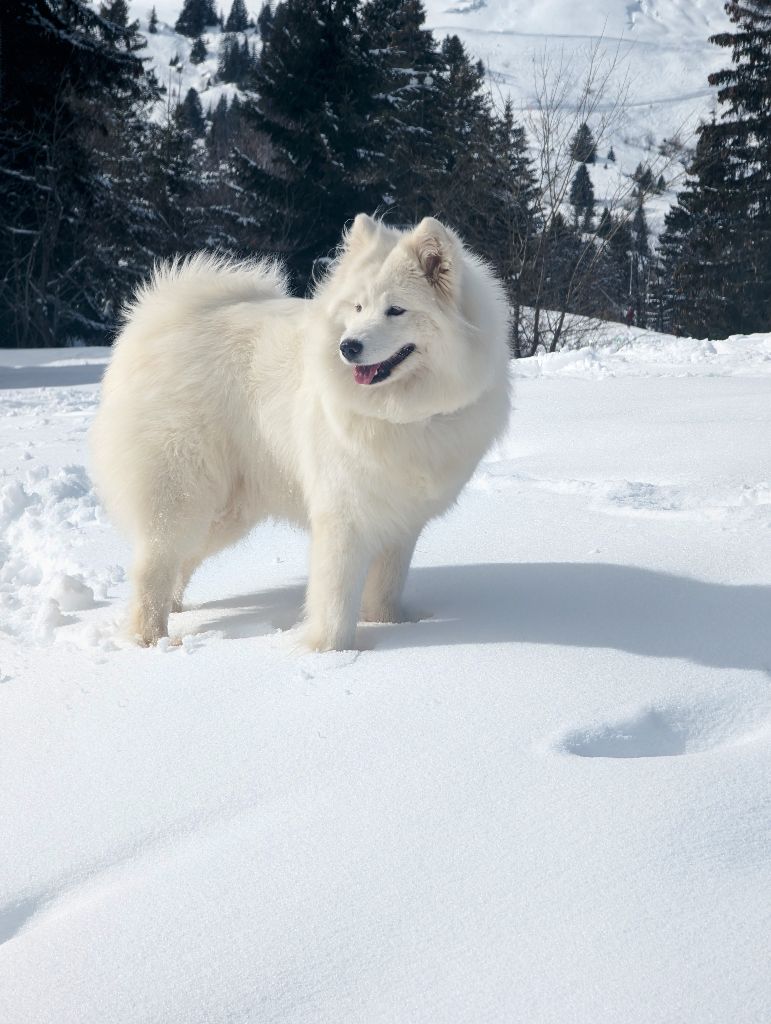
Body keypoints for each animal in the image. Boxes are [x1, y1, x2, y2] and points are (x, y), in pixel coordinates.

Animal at [90, 215, 511, 647]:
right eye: (358, 307)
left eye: (396, 310)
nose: (348, 346)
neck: (405, 415)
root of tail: (154, 323)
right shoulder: (344, 516)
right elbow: (335, 599)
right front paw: (329, 650)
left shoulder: (401, 523)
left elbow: (385, 588)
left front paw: (387, 627)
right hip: (182, 493)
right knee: (152, 566)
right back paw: (151, 639)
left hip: (225, 511)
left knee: (180, 560)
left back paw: (175, 614)